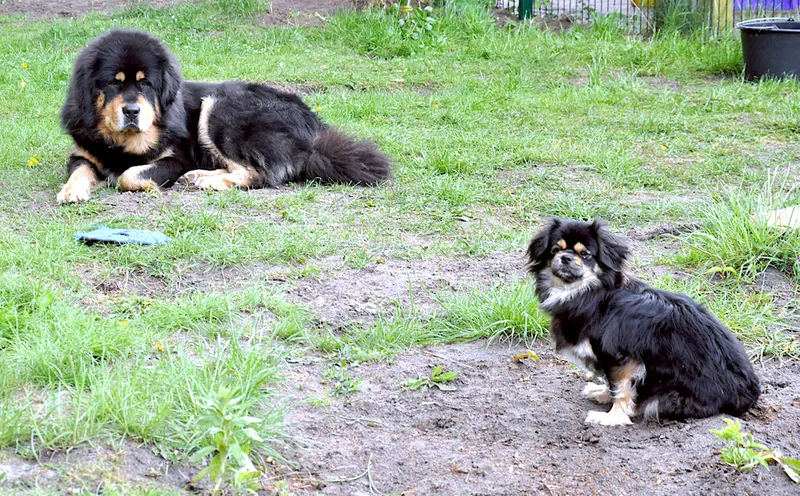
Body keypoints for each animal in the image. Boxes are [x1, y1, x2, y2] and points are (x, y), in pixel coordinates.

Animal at [57, 29, 391, 204]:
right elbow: (80, 171)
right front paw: (71, 191)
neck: (121, 142)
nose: (131, 111)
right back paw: (200, 177)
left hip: (220, 108)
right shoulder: (82, 154)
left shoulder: (176, 159)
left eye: (145, 84)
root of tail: (315, 127)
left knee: (258, 174)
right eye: (113, 83)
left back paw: (209, 182)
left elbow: (130, 175)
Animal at [526, 218, 760, 426]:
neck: (590, 293)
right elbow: (612, 383)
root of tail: (748, 394)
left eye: (585, 255)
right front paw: (602, 393)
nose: (565, 257)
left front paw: (612, 418)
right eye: (555, 250)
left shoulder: (623, 358)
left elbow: (621, 388)